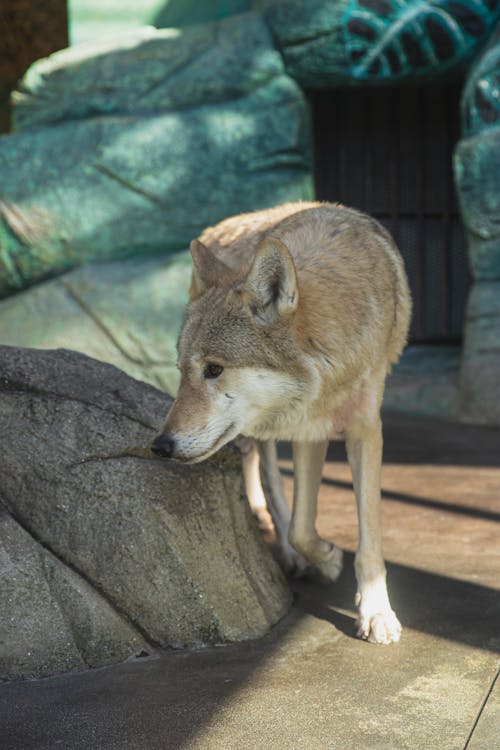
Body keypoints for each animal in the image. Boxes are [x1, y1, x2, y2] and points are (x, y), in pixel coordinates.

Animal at [151, 201, 410, 648]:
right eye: (183, 372)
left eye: (214, 369)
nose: (161, 445)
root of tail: (224, 224)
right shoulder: (310, 428)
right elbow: (301, 530)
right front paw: (328, 560)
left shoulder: (355, 427)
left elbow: (364, 534)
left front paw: (376, 611)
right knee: (267, 473)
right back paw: (284, 546)